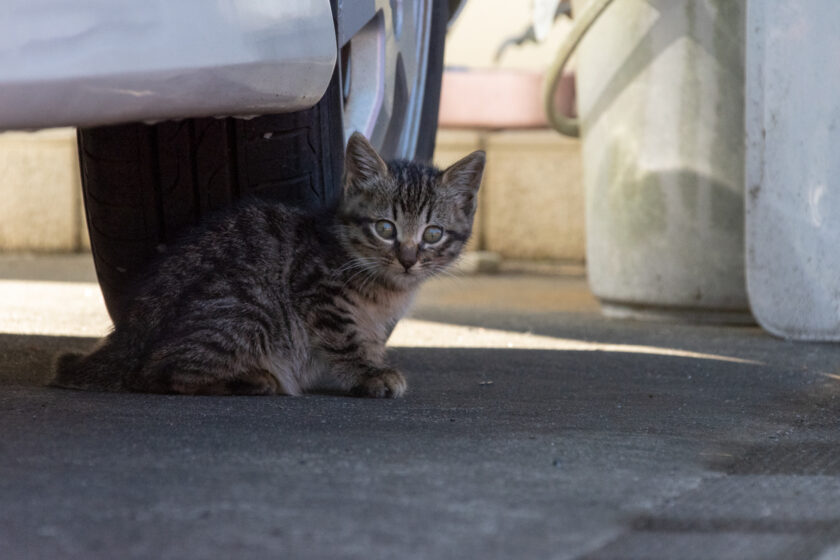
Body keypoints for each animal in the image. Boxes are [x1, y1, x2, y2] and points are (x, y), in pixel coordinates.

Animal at [50, 133, 486, 396]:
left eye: (433, 233)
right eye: (385, 228)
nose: (408, 259)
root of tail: (129, 334)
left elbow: (370, 339)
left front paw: (374, 364)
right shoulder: (318, 291)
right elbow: (347, 340)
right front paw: (369, 374)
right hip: (249, 305)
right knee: (159, 374)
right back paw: (254, 379)